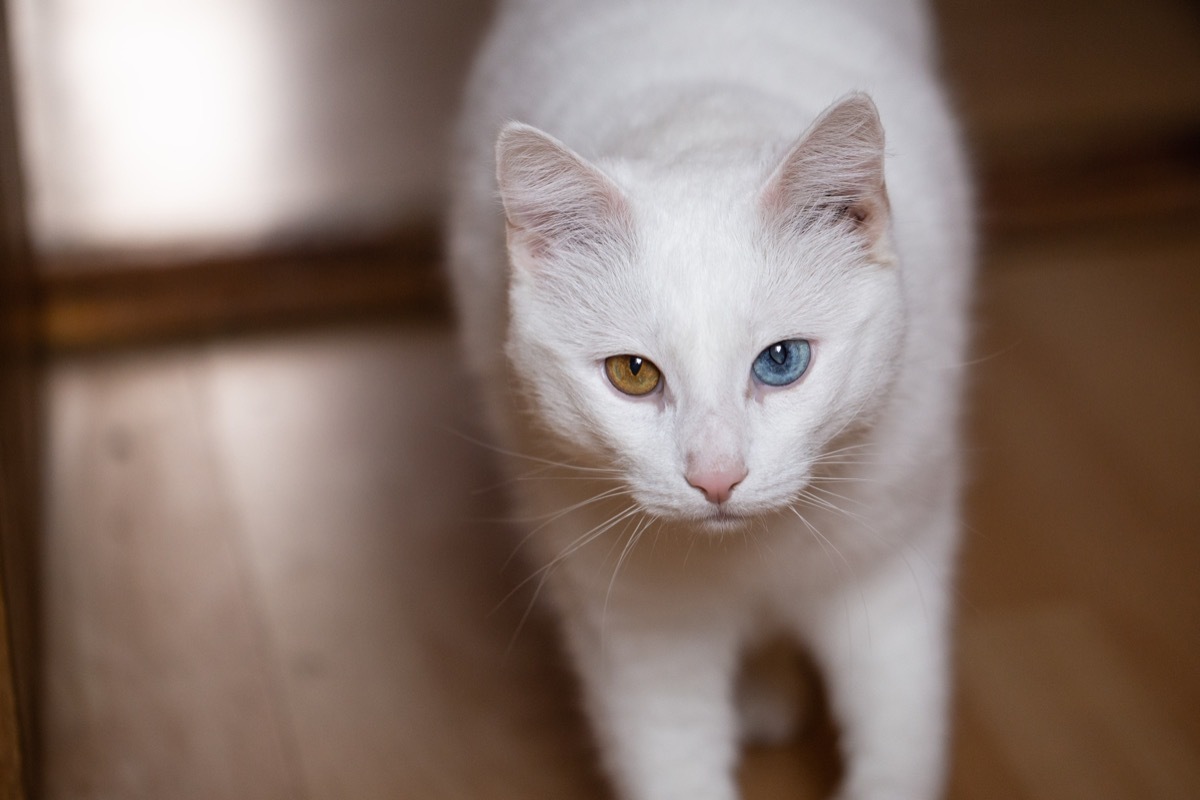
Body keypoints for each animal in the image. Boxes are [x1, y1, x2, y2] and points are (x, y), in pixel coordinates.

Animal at [446, 1, 969, 800]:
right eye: (632, 373)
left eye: (782, 361)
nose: (716, 477)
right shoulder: (641, 631)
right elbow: (673, 760)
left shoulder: (887, 574)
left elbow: (899, 746)